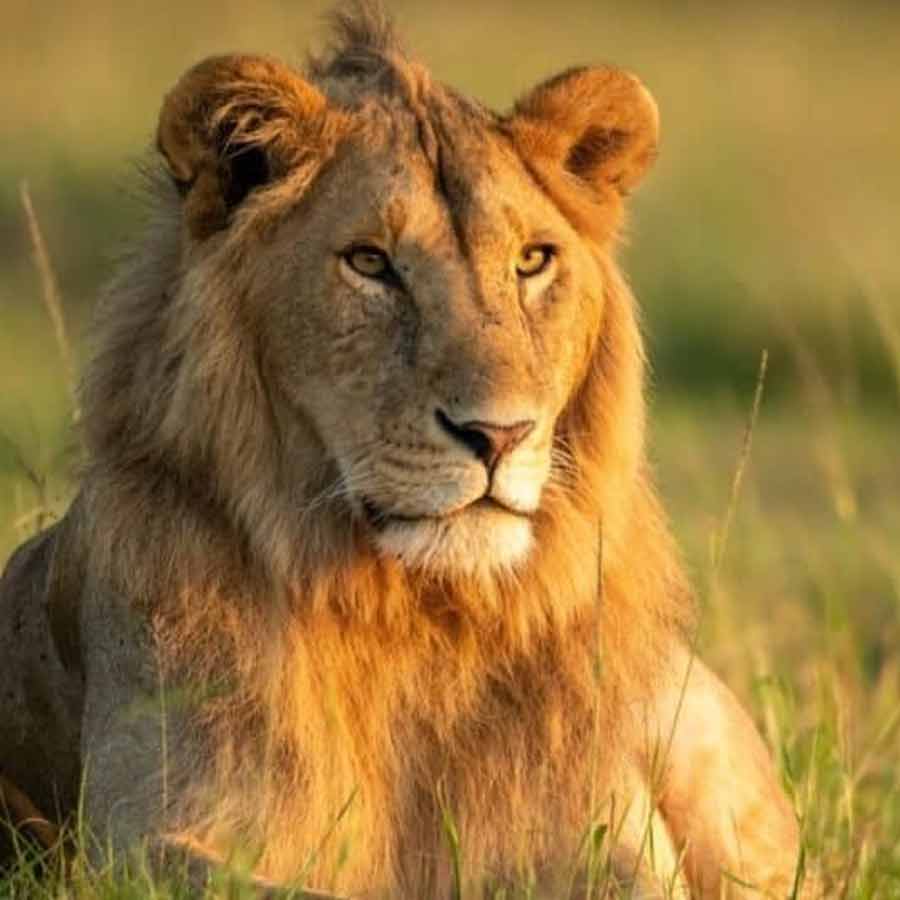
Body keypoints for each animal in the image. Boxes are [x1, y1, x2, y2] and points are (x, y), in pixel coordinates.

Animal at [0, 5, 812, 898]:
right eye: (370, 262)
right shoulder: (142, 838)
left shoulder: (607, 836)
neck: (423, 620)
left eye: (532, 260)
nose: (500, 434)